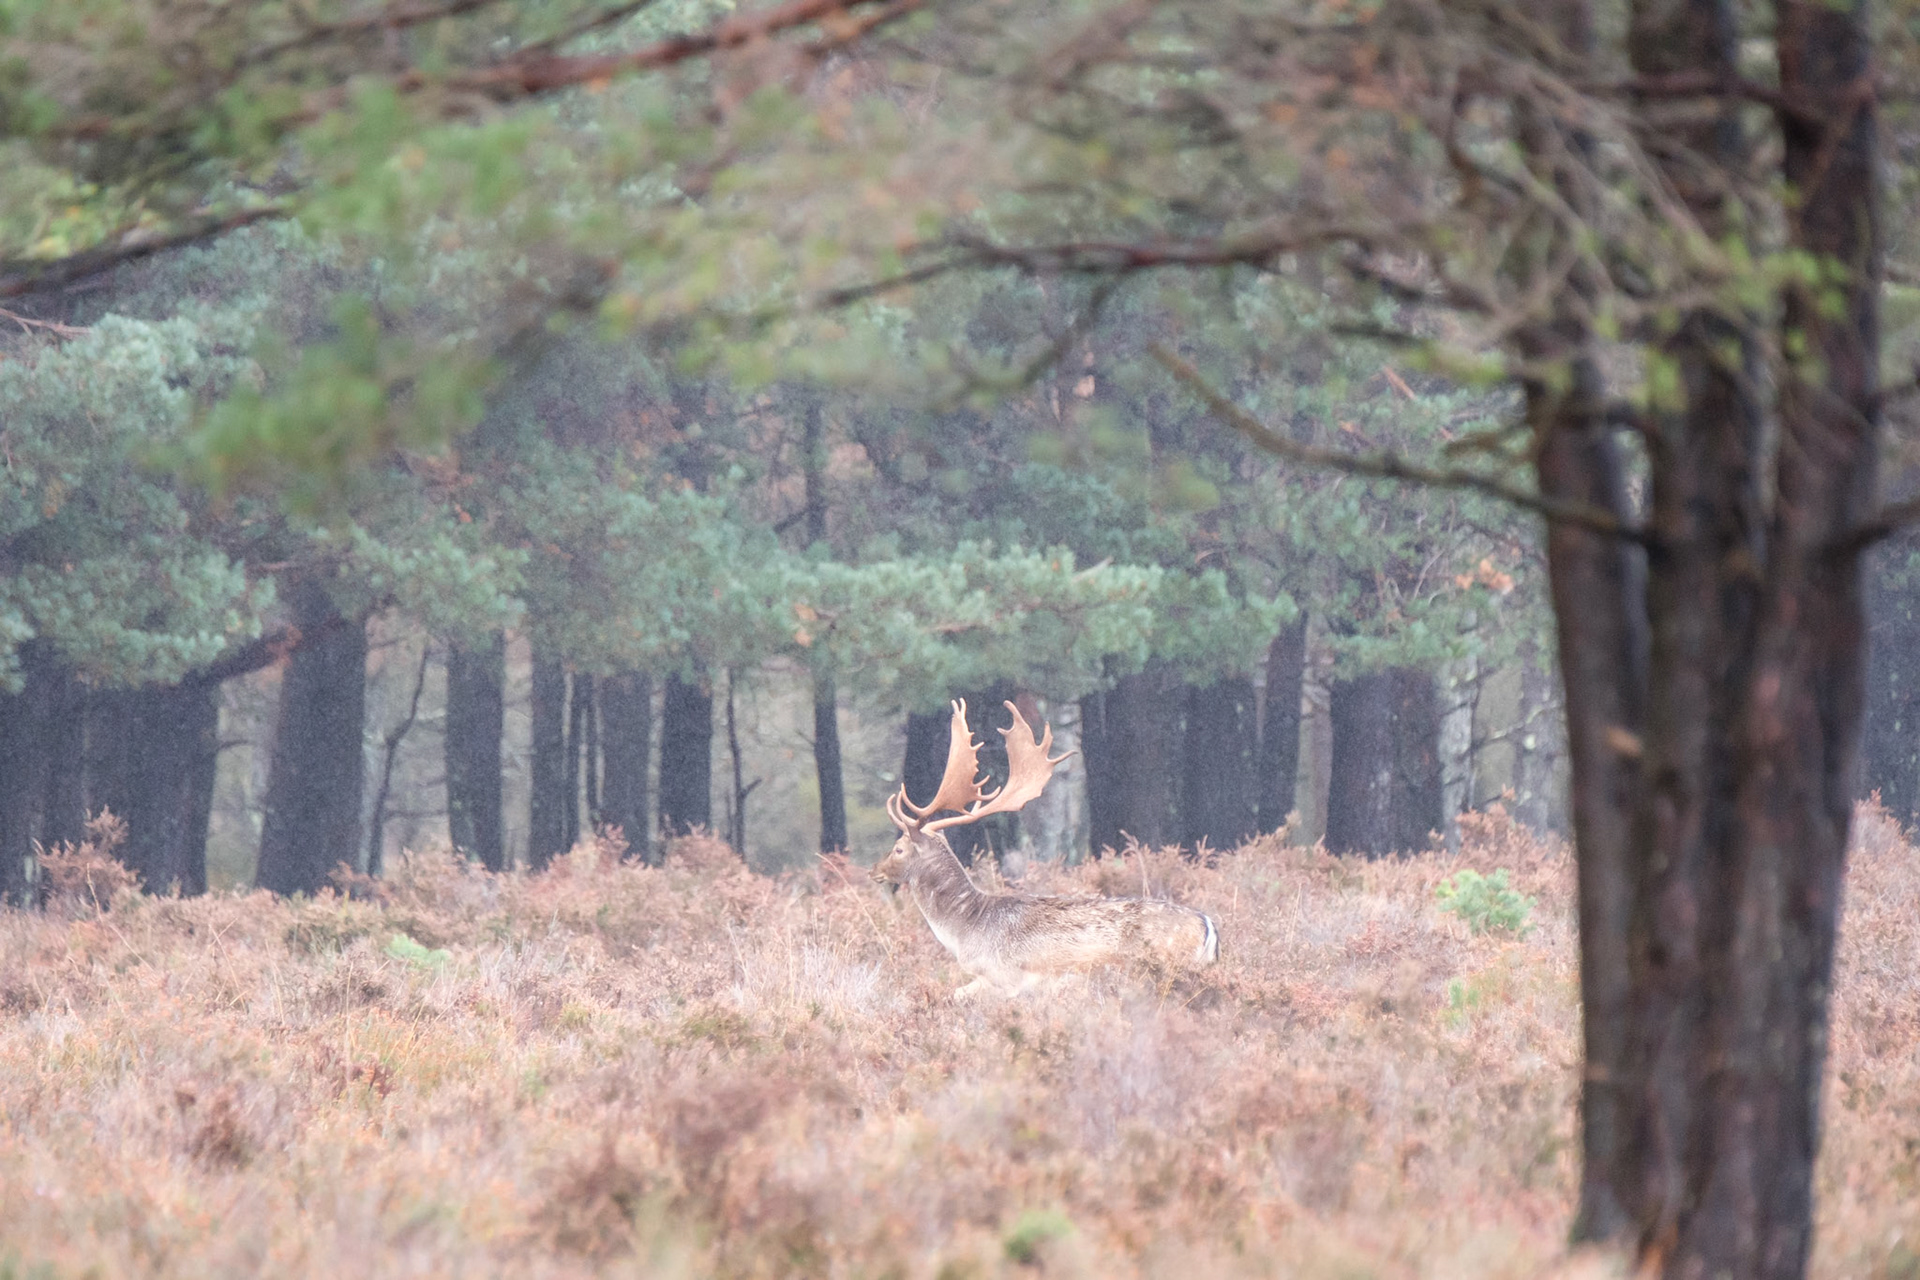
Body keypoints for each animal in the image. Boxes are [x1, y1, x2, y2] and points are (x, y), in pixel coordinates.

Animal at [871, 699, 1220, 999]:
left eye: (898, 848)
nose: (874, 871)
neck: (966, 931)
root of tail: (1207, 924)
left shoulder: (1005, 977)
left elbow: (955, 995)